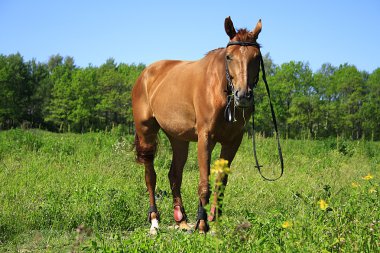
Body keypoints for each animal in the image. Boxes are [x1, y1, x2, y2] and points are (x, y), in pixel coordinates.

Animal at [132, 15, 262, 233]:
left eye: (257, 57)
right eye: (229, 57)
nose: (243, 95)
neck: (219, 88)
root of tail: (146, 74)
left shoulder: (233, 141)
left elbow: (220, 182)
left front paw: (214, 221)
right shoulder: (205, 138)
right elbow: (204, 183)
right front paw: (202, 223)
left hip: (178, 139)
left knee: (174, 175)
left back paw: (181, 220)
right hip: (146, 133)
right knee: (150, 176)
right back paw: (154, 222)